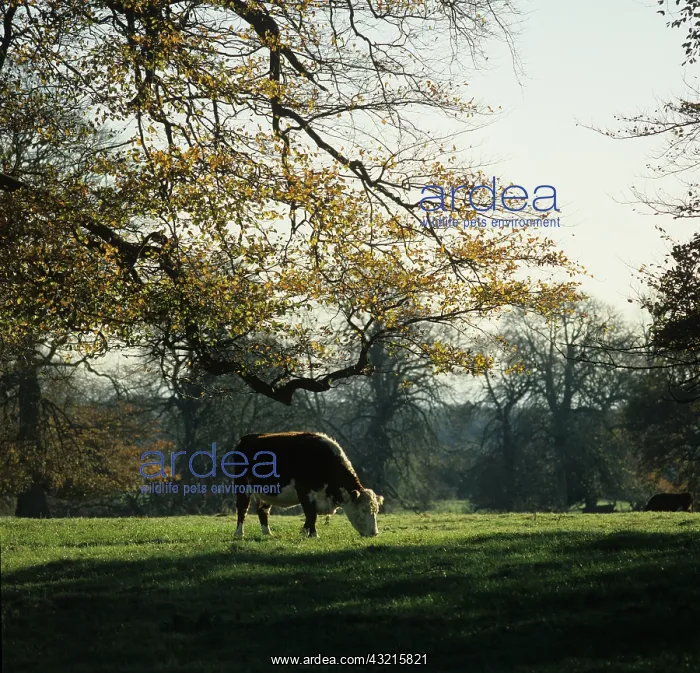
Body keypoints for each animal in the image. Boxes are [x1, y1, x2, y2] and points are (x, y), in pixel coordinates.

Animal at [233, 432, 384, 538]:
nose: (374, 533)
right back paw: (239, 533)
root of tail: (245, 439)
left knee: (262, 511)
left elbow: (312, 515)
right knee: (242, 508)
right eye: (363, 510)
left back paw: (267, 533)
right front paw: (312, 534)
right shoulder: (304, 491)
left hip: (267, 491)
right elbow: (311, 514)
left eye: (376, 511)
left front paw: (306, 532)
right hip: (242, 485)